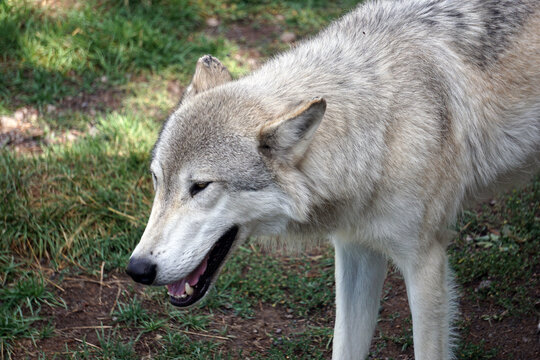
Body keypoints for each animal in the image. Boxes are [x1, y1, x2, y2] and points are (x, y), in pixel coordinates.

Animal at [127, 1, 540, 358]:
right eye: (157, 180)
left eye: (200, 187)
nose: (137, 269)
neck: (381, 132)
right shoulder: (355, 250)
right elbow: (345, 347)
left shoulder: (426, 262)